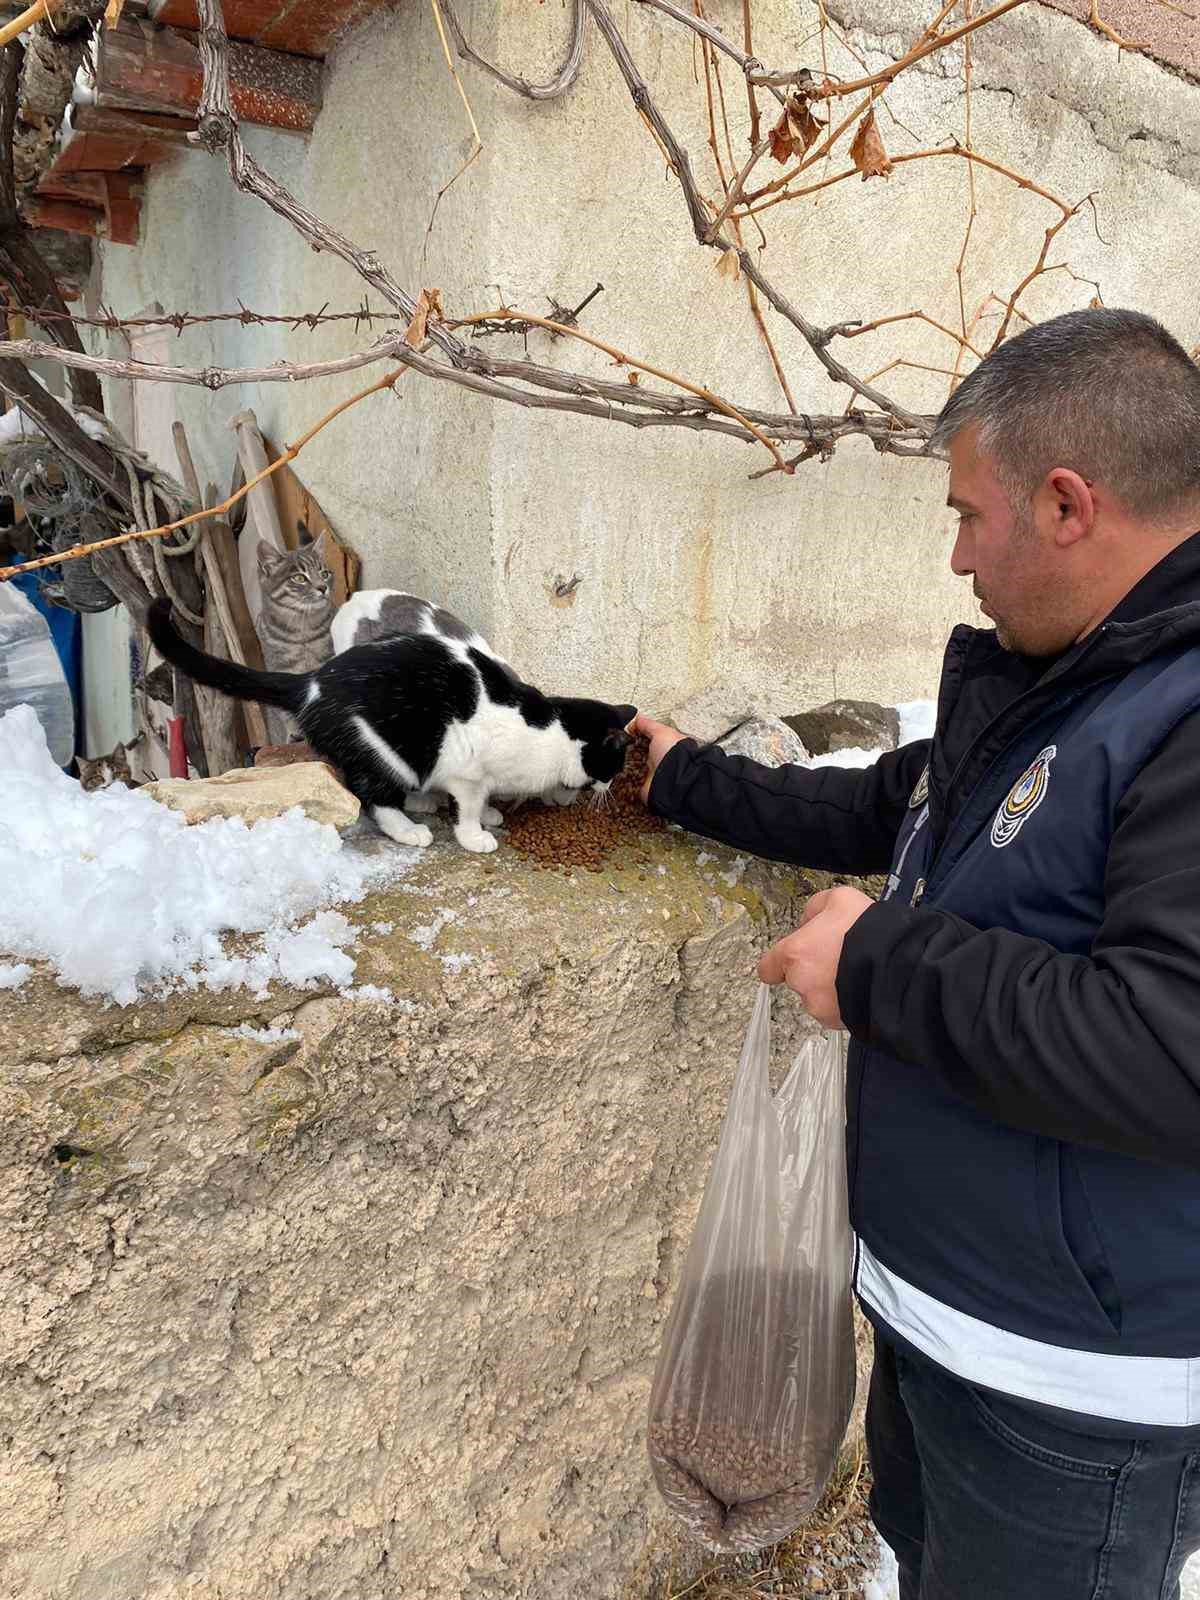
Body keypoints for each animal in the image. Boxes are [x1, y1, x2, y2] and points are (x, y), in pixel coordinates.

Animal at [147, 598, 640, 851]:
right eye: (613, 766)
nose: (607, 788)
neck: (546, 730)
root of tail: (313, 680)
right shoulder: (468, 770)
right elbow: (468, 805)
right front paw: (475, 834)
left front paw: (488, 813)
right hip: (384, 748)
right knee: (371, 796)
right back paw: (408, 828)